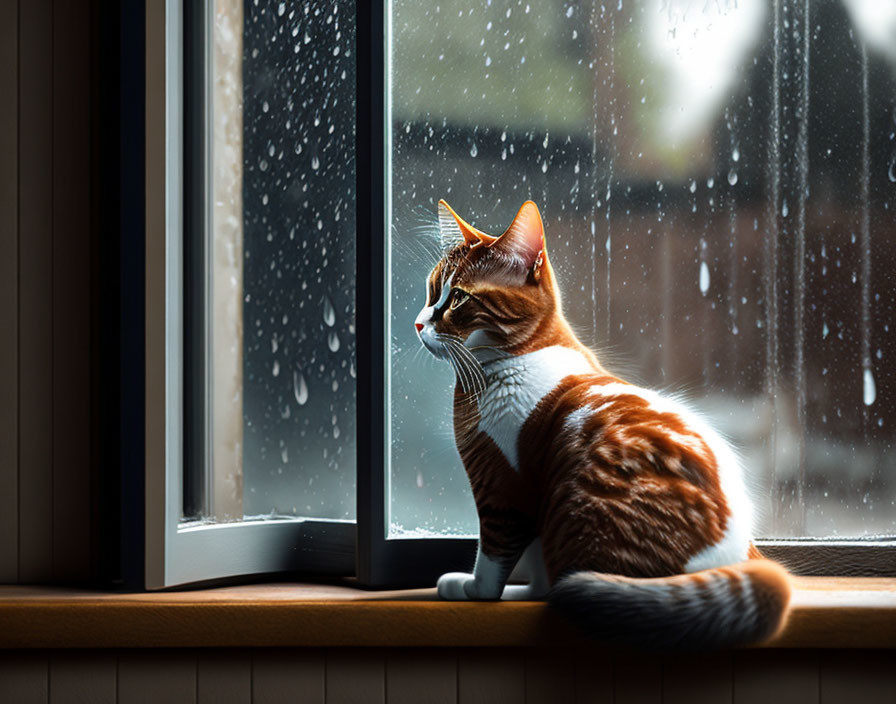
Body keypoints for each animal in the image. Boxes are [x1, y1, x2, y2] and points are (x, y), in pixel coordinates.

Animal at [414, 198, 792, 648]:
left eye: (457, 298)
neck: (508, 365)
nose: (419, 322)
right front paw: (524, 590)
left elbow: (493, 556)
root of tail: (739, 555)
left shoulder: (503, 484)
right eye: (431, 291)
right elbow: (537, 570)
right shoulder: (534, 510)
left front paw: (473, 589)